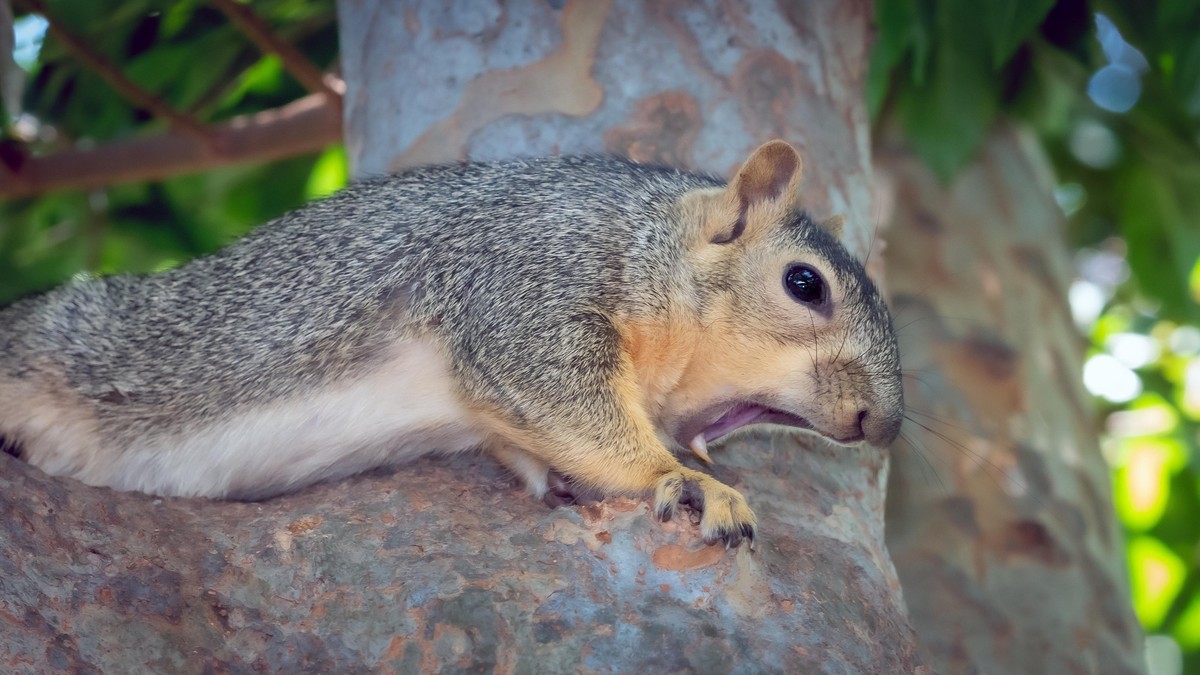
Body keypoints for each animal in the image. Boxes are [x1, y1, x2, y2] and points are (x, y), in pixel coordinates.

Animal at [0, 141, 903, 548]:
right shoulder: (522, 286)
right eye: (805, 284)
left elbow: (531, 441)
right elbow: (567, 397)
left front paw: (563, 480)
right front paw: (682, 478)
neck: (640, 238)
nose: (883, 424)